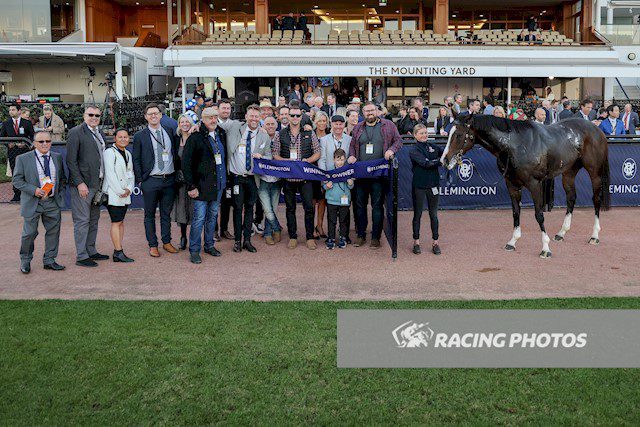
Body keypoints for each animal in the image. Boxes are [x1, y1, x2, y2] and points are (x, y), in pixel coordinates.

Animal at [440, 113, 608, 260]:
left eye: (459, 135)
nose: (445, 160)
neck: (515, 145)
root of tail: (596, 129)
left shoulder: (535, 184)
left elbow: (539, 215)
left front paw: (545, 248)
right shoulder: (512, 184)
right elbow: (516, 212)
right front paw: (512, 242)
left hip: (595, 173)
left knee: (596, 199)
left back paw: (594, 235)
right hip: (569, 173)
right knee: (571, 197)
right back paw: (562, 233)